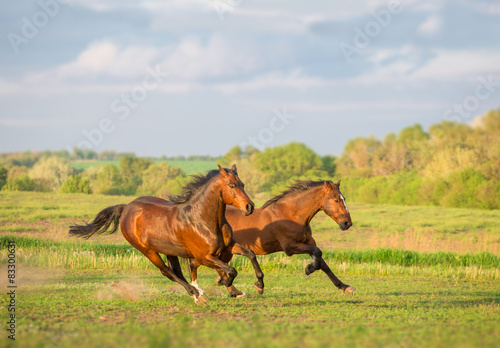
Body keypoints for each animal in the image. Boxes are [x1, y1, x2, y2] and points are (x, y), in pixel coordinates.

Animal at [71, 164, 266, 304]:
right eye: (231, 185)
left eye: (242, 184)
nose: (249, 207)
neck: (203, 219)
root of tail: (126, 208)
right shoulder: (203, 257)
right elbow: (231, 270)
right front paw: (227, 284)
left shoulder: (228, 246)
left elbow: (250, 254)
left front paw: (257, 286)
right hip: (149, 251)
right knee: (167, 272)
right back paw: (196, 294)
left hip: (170, 251)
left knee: (177, 271)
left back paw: (199, 294)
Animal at [188, 179, 356, 296]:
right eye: (336, 199)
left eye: (344, 198)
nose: (347, 223)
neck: (291, 214)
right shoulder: (290, 247)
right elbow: (317, 253)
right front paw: (309, 269)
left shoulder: (307, 241)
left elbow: (323, 262)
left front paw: (345, 287)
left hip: (226, 251)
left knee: (219, 267)